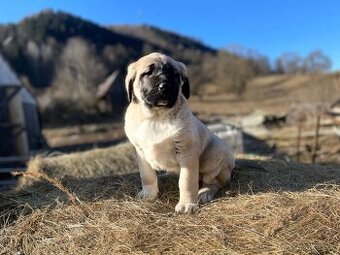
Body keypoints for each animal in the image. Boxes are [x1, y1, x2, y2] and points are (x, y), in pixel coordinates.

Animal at [123, 52, 235, 213]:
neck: (156, 117)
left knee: (214, 181)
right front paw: (149, 193)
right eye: (148, 73)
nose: (164, 87)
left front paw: (187, 204)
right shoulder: (140, 152)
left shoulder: (187, 153)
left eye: (175, 75)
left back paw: (204, 192)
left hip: (216, 154)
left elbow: (186, 181)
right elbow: (147, 175)